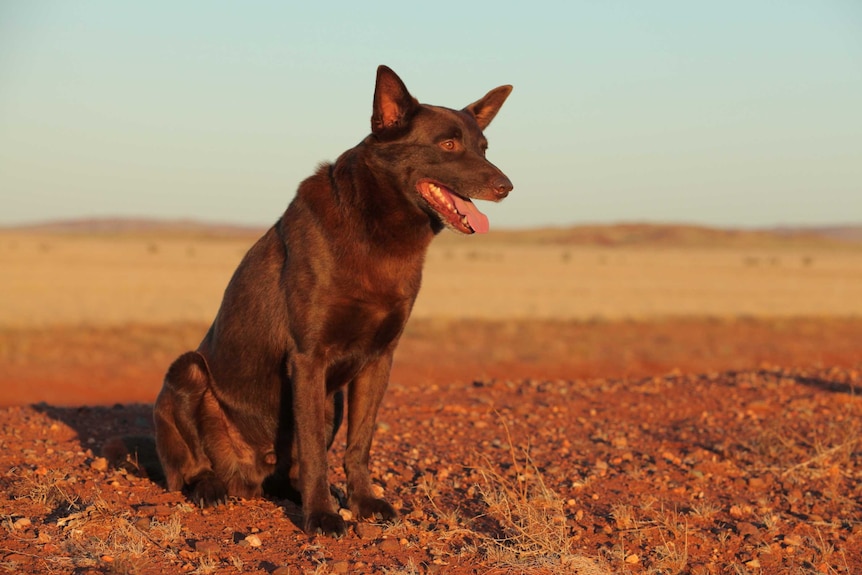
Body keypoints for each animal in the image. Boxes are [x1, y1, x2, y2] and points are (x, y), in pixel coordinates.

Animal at [154, 65, 512, 536]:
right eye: (448, 144)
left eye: (484, 148)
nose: (506, 186)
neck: (375, 231)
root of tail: (249, 476)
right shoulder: (308, 359)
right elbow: (313, 453)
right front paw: (321, 515)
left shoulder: (378, 360)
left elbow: (359, 444)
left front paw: (364, 502)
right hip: (187, 371)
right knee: (192, 468)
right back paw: (211, 488)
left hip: (331, 399)